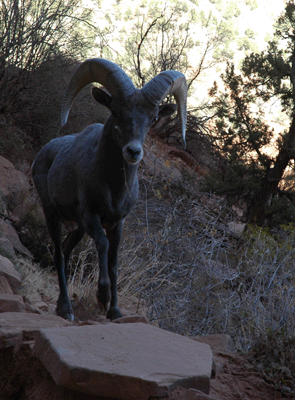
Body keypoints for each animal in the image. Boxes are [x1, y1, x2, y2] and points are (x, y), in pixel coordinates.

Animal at [32, 58, 187, 322]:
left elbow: (114, 262)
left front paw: (114, 311)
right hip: (52, 214)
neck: (114, 189)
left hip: (77, 228)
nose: (133, 151)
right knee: (59, 254)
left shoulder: (117, 223)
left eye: (153, 117)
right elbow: (103, 246)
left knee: (65, 251)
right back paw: (65, 309)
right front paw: (102, 298)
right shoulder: (92, 216)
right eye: (115, 112)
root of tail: (43, 153)